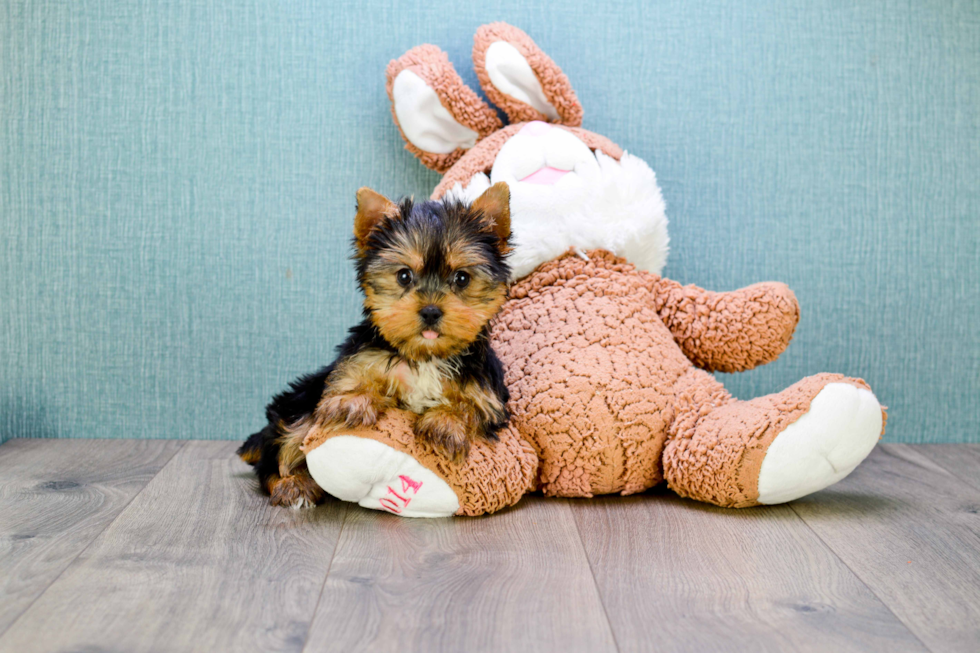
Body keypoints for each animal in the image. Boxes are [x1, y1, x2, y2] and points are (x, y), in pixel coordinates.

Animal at [237, 181, 512, 506]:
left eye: (461, 278)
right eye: (404, 276)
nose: (431, 311)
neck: (426, 357)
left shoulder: (489, 395)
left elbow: (473, 408)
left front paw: (445, 422)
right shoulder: (360, 359)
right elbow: (356, 379)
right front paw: (352, 401)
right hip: (300, 401)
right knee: (279, 450)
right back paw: (293, 483)